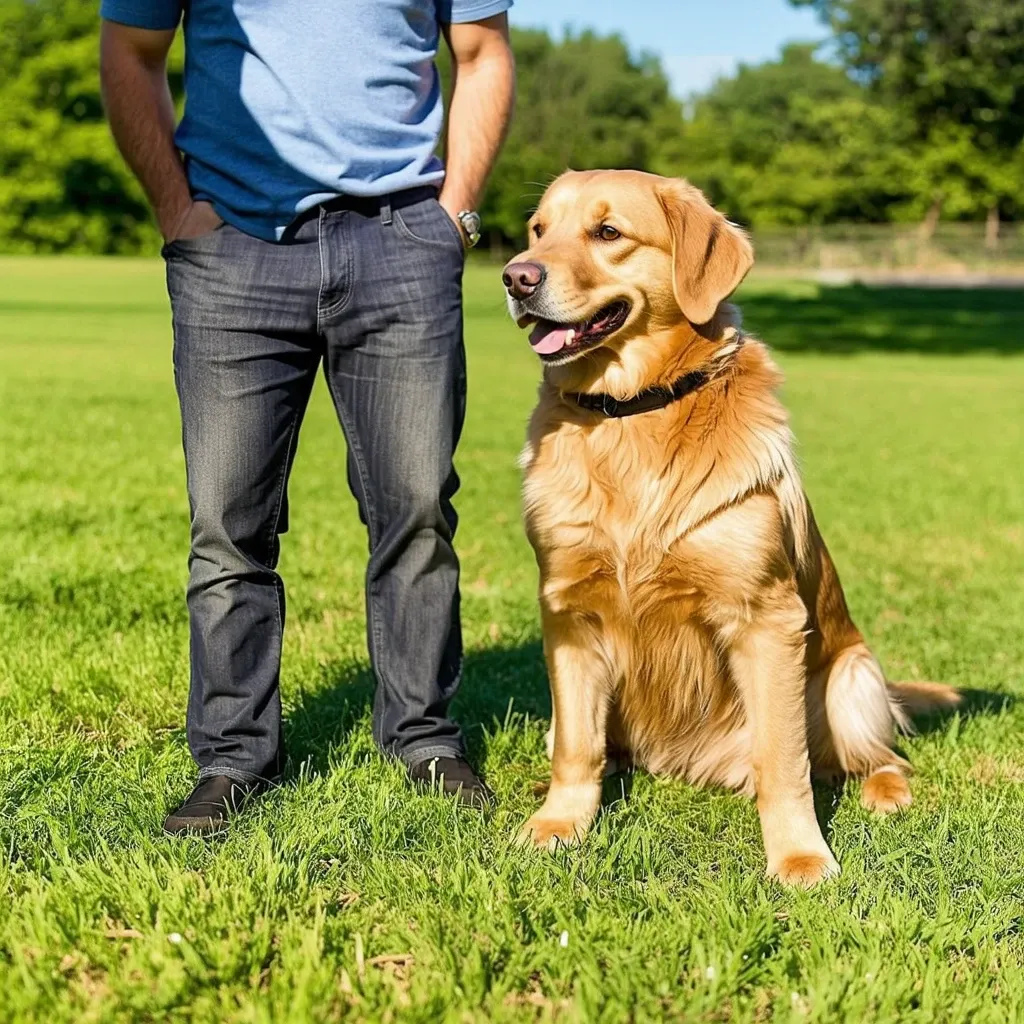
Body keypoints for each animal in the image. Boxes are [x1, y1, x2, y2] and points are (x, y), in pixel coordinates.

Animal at [503, 172, 958, 884]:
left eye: (608, 232)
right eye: (538, 231)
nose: (516, 277)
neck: (631, 415)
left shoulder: (765, 618)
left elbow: (784, 764)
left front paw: (800, 856)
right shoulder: (568, 611)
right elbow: (576, 747)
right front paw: (557, 824)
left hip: (852, 680)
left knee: (878, 756)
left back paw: (886, 791)